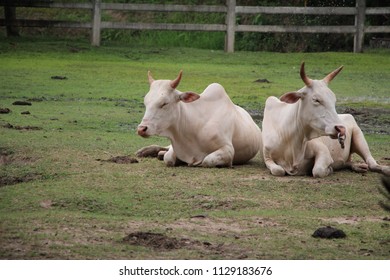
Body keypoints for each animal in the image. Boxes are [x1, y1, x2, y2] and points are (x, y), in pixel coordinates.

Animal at [262, 63, 390, 177]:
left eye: (334, 100)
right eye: (316, 99)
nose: (341, 129)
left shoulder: (323, 152)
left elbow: (317, 170)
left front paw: (329, 169)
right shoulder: (267, 157)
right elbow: (278, 170)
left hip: (359, 136)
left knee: (372, 163)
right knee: (347, 162)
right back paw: (357, 167)